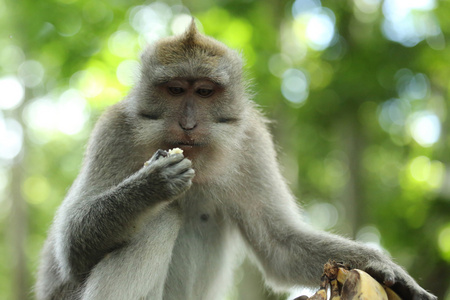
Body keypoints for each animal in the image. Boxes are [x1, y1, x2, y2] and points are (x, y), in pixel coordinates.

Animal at [35, 20, 436, 300]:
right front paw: (150, 185)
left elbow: (280, 244)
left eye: (205, 91)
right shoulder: (114, 132)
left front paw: (383, 268)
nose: (188, 124)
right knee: (161, 218)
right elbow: (70, 247)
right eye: (176, 90)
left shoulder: (252, 143)